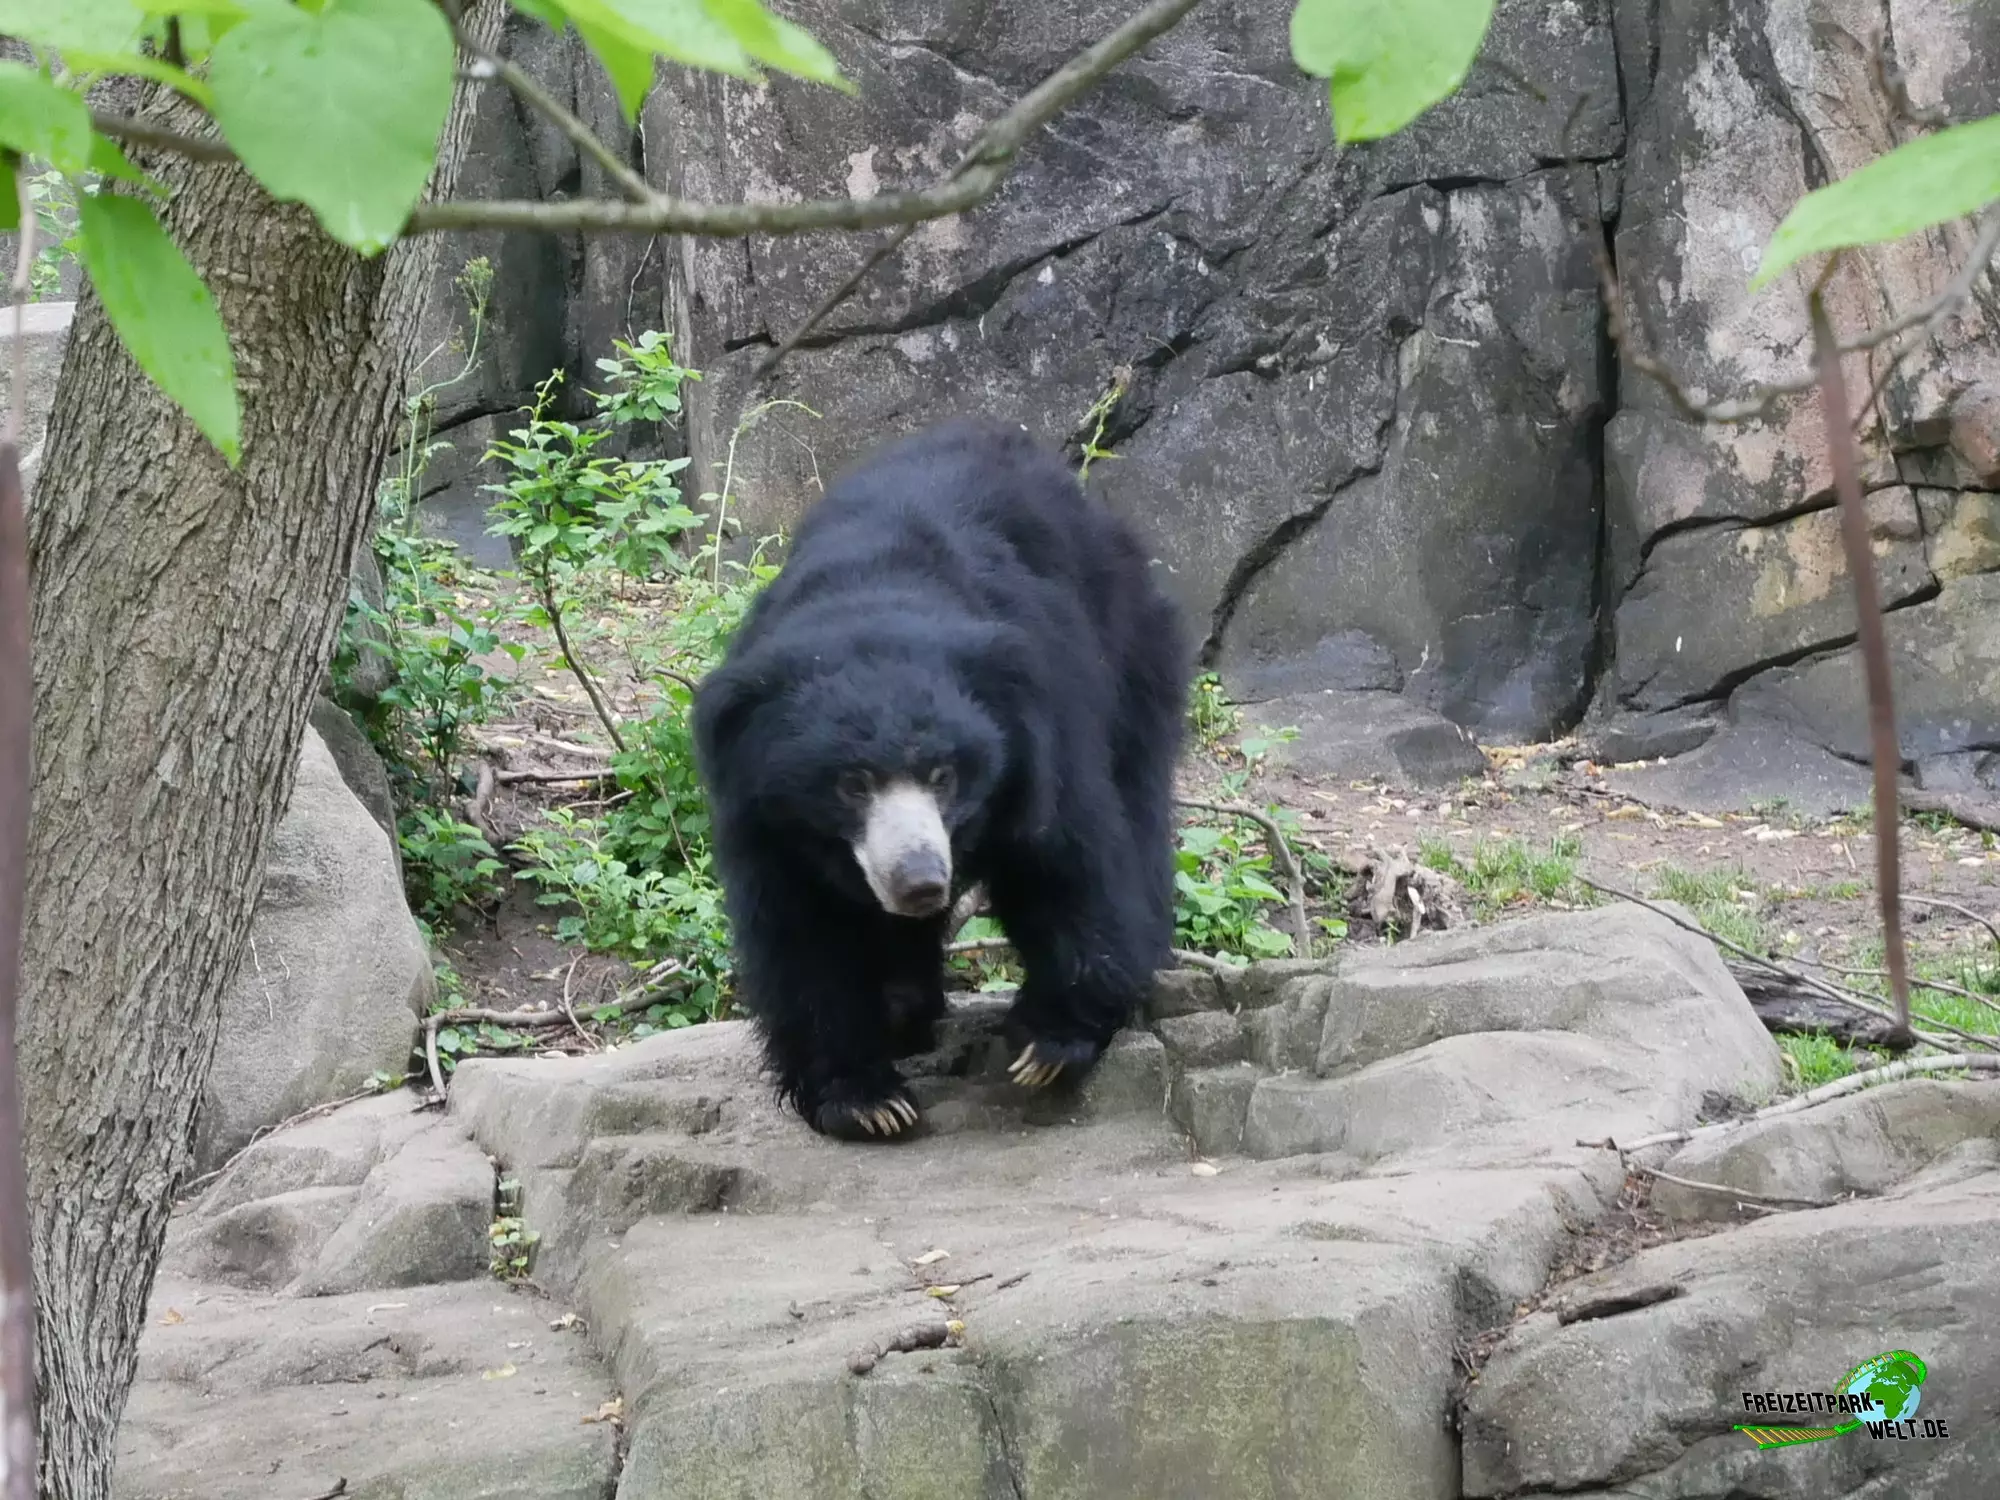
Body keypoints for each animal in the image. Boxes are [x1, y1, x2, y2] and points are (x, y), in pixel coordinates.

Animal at [690, 417, 1189, 1141]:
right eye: (852, 784)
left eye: (945, 775)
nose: (921, 882)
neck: (872, 602)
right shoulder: (759, 806)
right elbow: (802, 929)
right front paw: (866, 1099)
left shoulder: (1042, 724)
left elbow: (1065, 861)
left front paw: (1047, 1046)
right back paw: (905, 1013)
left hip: (1131, 649)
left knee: (1138, 798)